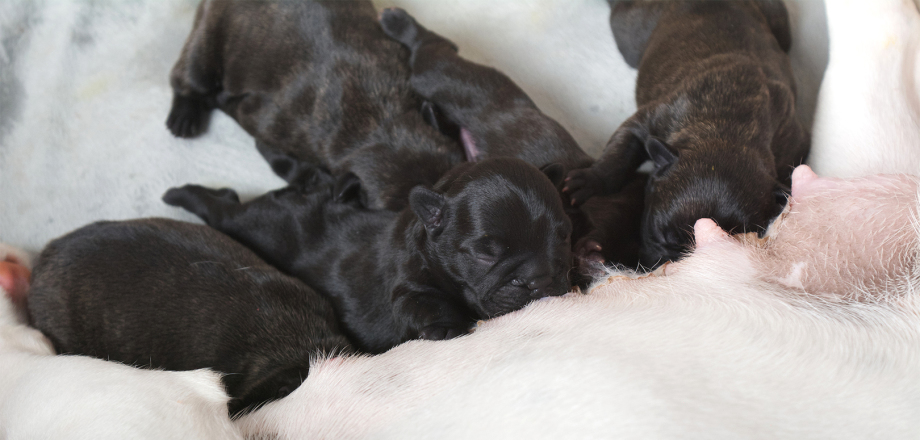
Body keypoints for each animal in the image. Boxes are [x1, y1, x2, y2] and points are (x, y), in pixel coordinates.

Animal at [164, 158, 573, 354]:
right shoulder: (408, 284)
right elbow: (422, 301)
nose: (539, 279)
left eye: (562, 238)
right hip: (252, 226)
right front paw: (446, 325)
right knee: (223, 210)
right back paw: (180, 193)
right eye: (485, 254)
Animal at [166, 0, 462, 211]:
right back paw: (184, 116)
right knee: (189, 77)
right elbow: (285, 162)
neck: (379, 122)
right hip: (206, 44)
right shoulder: (267, 127)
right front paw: (313, 178)